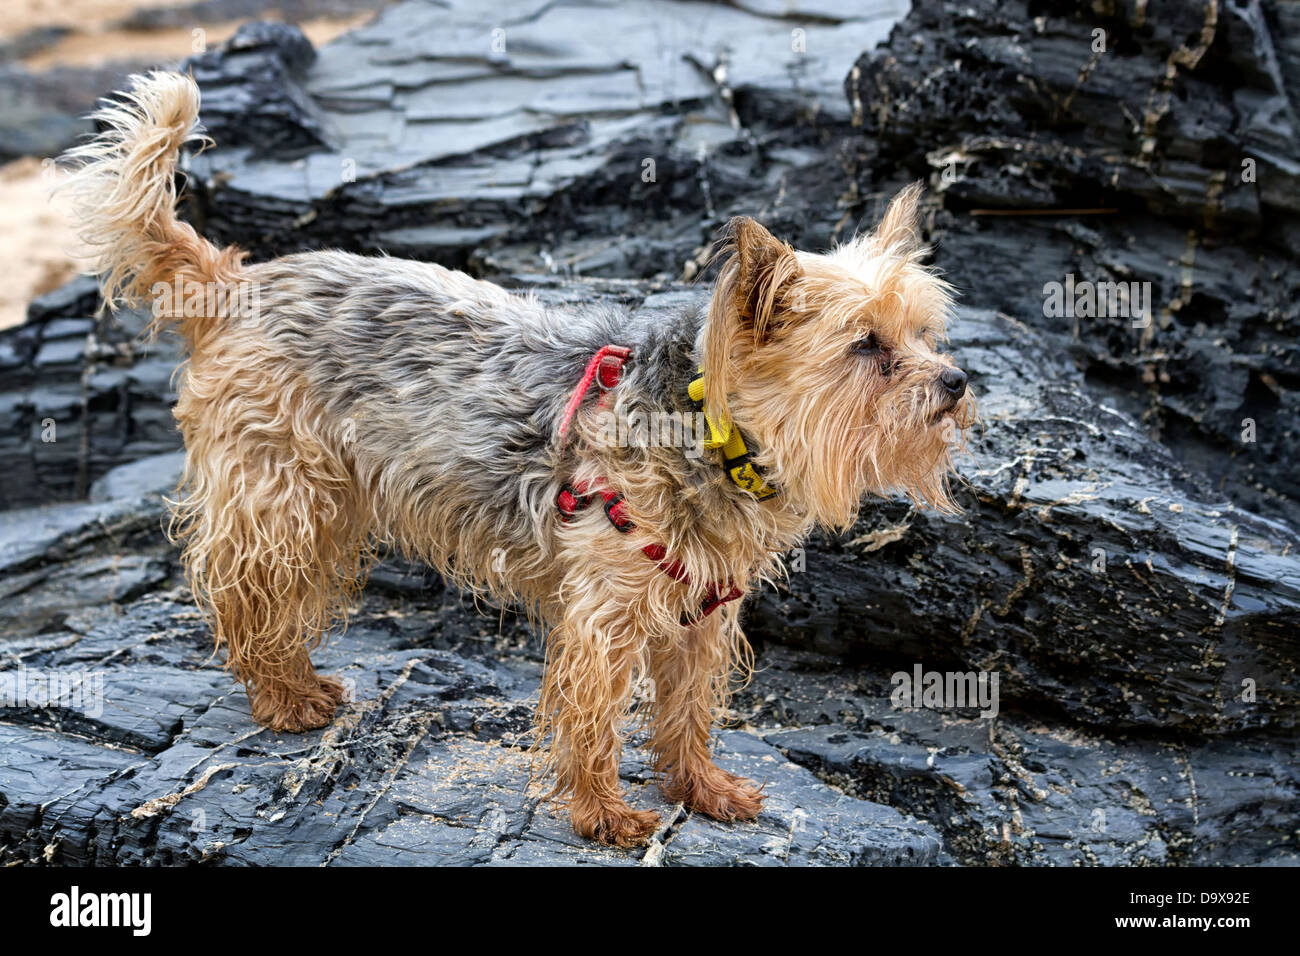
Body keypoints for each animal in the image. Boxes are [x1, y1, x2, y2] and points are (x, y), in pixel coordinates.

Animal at [63, 76, 977, 853]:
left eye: (925, 333)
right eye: (866, 347)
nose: (958, 381)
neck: (710, 426)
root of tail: (234, 282)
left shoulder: (700, 614)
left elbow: (687, 710)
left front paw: (701, 788)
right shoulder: (606, 611)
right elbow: (593, 715)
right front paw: (604, 814)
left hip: (330, 504)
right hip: (281, 496)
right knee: (245, 592)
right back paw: (282, 698)